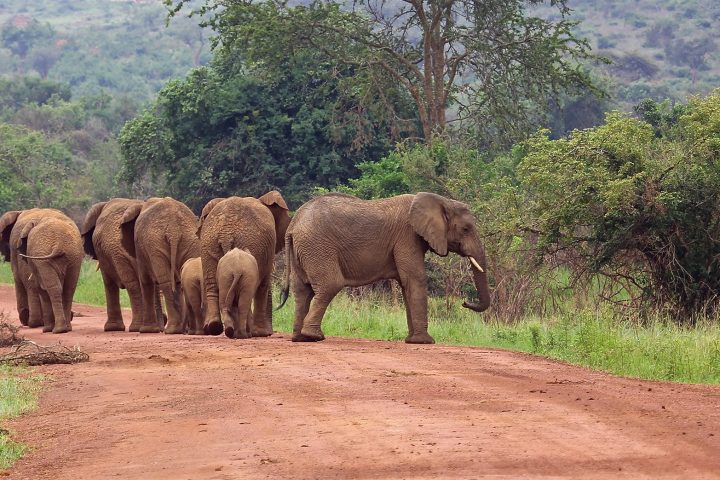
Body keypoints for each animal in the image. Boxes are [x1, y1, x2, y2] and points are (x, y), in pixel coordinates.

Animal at [120, 197, 200, 334]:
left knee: (165, 282)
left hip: (155, 244)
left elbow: (145, 280)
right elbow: (177, 283)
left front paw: (146, 330)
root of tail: (174, 229)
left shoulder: (140, 248)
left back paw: (172, 330)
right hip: (189, 239)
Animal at [199, 191, 290, 337]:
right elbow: (263, 285)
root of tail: (226, 233)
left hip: (208, 243)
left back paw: (214, 327)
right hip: (251, 243)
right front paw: (261, 333)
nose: (271, 332)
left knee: (211, 284)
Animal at [278, 192, 491, 344]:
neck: (439, 200)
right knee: (330, 285)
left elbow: (407, 284)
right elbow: (415, 278)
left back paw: (300, 338)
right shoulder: (407, 236)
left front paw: (412, 341)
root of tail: (293, 225)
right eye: (466, 229)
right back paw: (314, 337)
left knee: (302, 291)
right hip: (317, 247)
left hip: (304, 251)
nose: (464, 302)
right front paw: (425, 342)